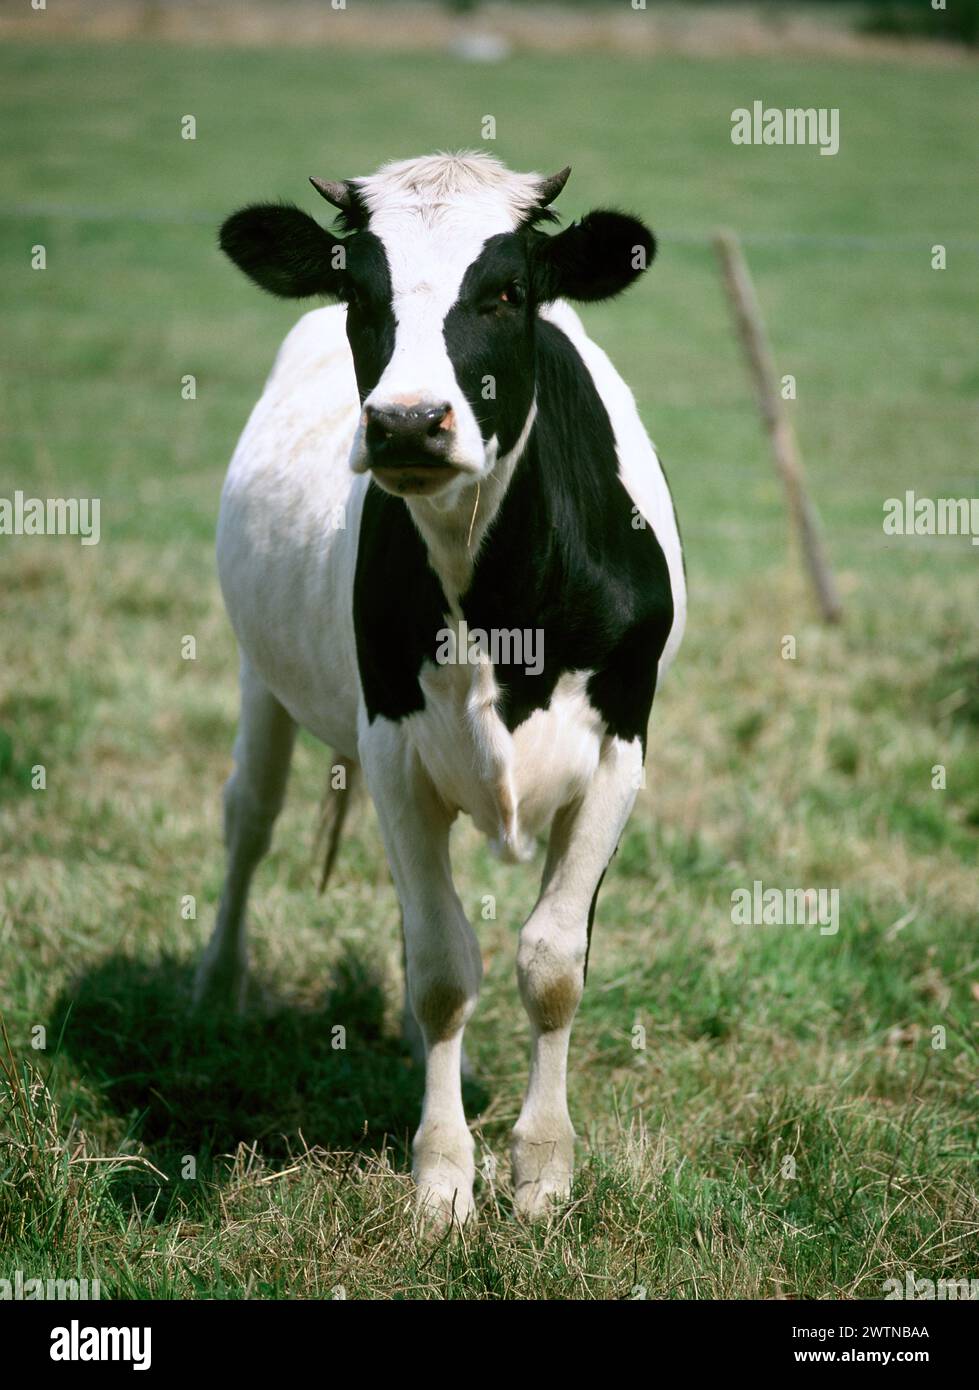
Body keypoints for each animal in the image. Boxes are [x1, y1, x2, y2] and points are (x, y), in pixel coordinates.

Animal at [197, 149, 689, 1217]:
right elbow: (438, 968)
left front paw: (542, 1170)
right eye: (357, 292)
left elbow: (551, 964)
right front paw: (441, 1178)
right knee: (249, 817)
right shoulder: (393, 749)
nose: (408, 423)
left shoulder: (621, 746)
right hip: (261, 674)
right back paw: (214, 988)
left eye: (506, 292)